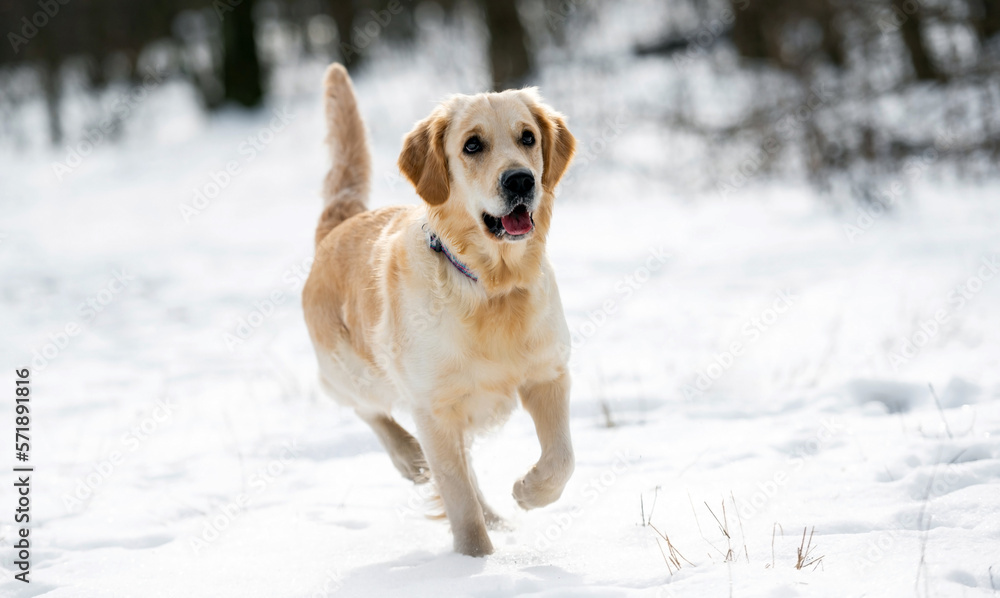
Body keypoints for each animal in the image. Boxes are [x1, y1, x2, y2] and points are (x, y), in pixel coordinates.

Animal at [300, 65, 576, 556]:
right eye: (472, 145)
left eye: (527, 137)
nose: (521, 181)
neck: (490, 287)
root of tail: (341, 223)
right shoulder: (432, 408)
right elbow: (458, 498)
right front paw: (475, 560)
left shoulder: (548, 372)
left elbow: (562, 457)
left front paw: (529, 491)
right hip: (354, 372)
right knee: (362, 407)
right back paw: (408, 456)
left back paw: (497, 517)